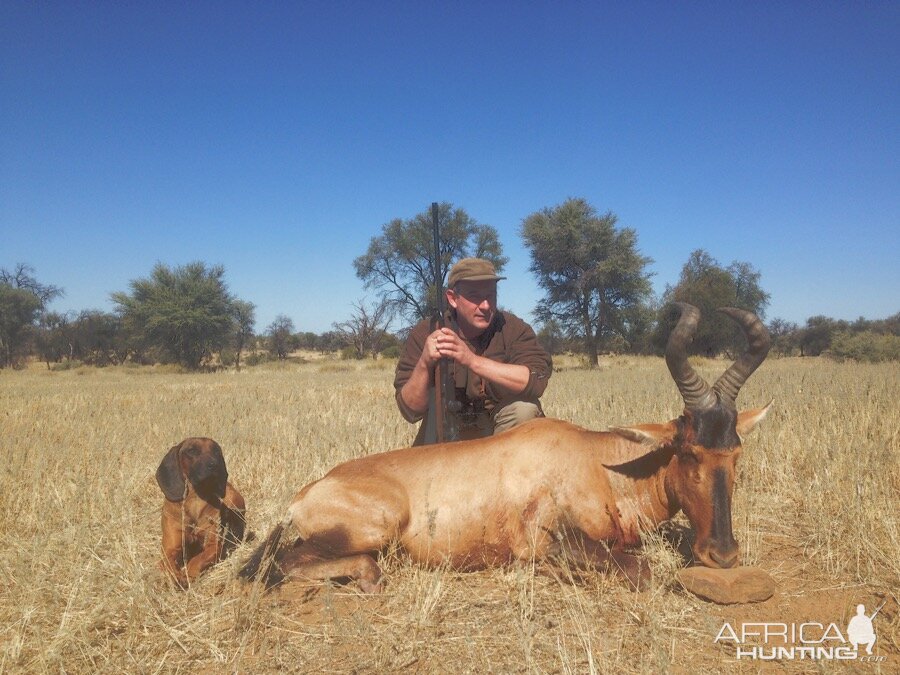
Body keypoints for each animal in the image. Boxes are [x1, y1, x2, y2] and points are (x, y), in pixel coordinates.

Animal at [156, 438, 246, 588]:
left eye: (216, 451)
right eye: (192, 450)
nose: (214, 465)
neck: (194, 500)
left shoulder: (213, 546)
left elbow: (198, 559)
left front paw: (187, 574)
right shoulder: (169, 550)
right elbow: (167, 564)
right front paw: (176, 577)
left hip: (232, 499)